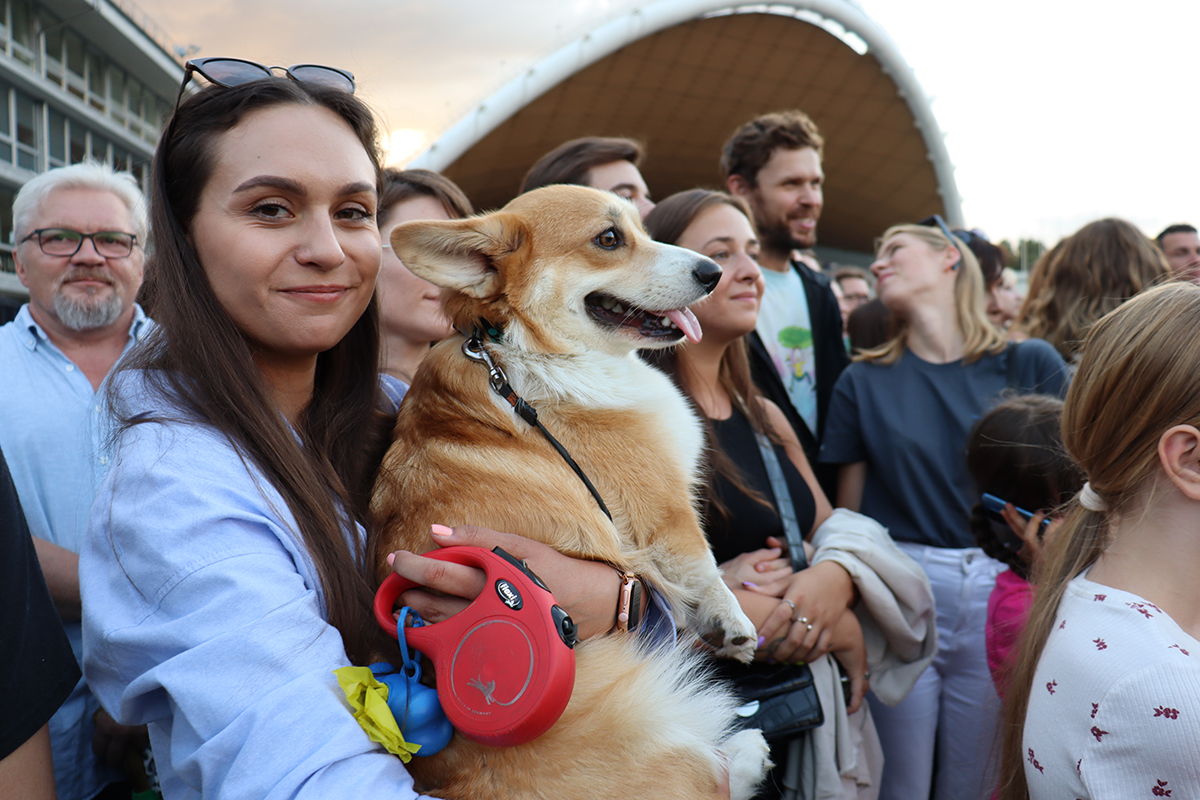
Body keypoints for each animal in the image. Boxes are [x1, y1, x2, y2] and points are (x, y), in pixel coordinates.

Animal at [369, 184, 772, 796]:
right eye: (609, 239)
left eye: (642, 227)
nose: (714, 271)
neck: (530, 352)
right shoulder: (662, 509)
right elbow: (700, 564)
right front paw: (733, 622)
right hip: (655, 733)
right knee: (706, 771)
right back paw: (747, 753)